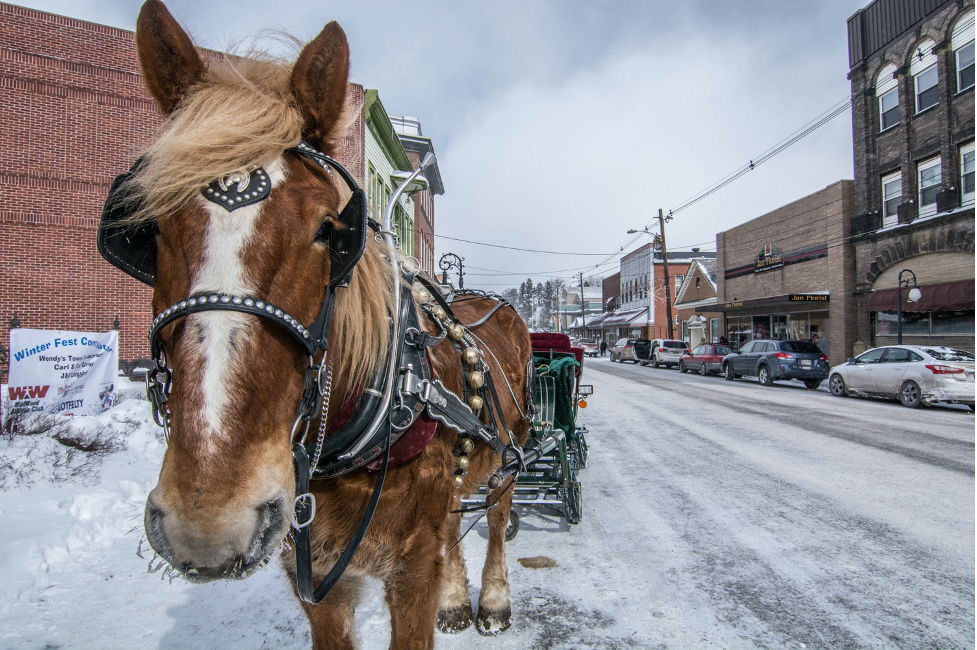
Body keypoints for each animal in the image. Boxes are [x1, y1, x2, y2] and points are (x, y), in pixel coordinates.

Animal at [126, 2, 533, 647]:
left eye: (326, 229)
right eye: (153, 228)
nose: (207, 519)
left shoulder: (411, 570)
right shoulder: (316, 580)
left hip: (510, 451)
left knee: (495, 515)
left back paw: (492, 599)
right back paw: (456, 600)